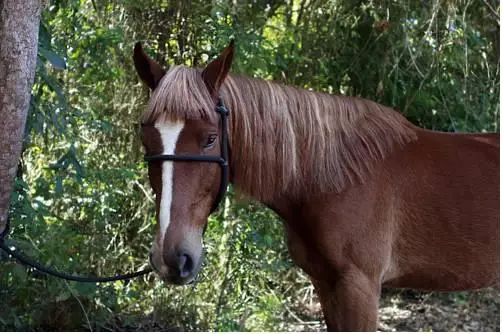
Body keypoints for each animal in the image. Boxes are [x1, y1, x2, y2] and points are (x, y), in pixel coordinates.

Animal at [131, 41, 500, 332]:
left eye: (209, 139)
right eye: (146, 142)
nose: (173, 258)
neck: (339, 177)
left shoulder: (359, 287)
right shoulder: (326, 284)